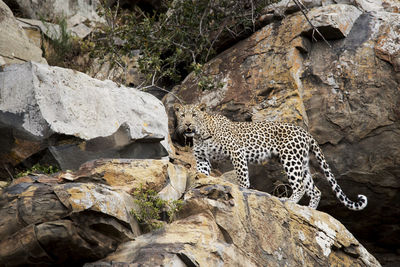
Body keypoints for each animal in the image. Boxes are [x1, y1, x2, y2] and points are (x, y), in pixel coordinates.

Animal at [173, 103, 368, 211]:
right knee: (315, 190)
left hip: (290, 159)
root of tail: (305, 132)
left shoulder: (237, 152)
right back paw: (310, 209)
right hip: (302, 162)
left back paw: (289, 201)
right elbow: (203, 173)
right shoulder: (201, 159)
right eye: (182, 115)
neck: (200, 134)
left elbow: (242, 176)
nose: (188, 124)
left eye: (194, 115)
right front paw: (201, 183)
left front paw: (243, 189)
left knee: (300, 186)